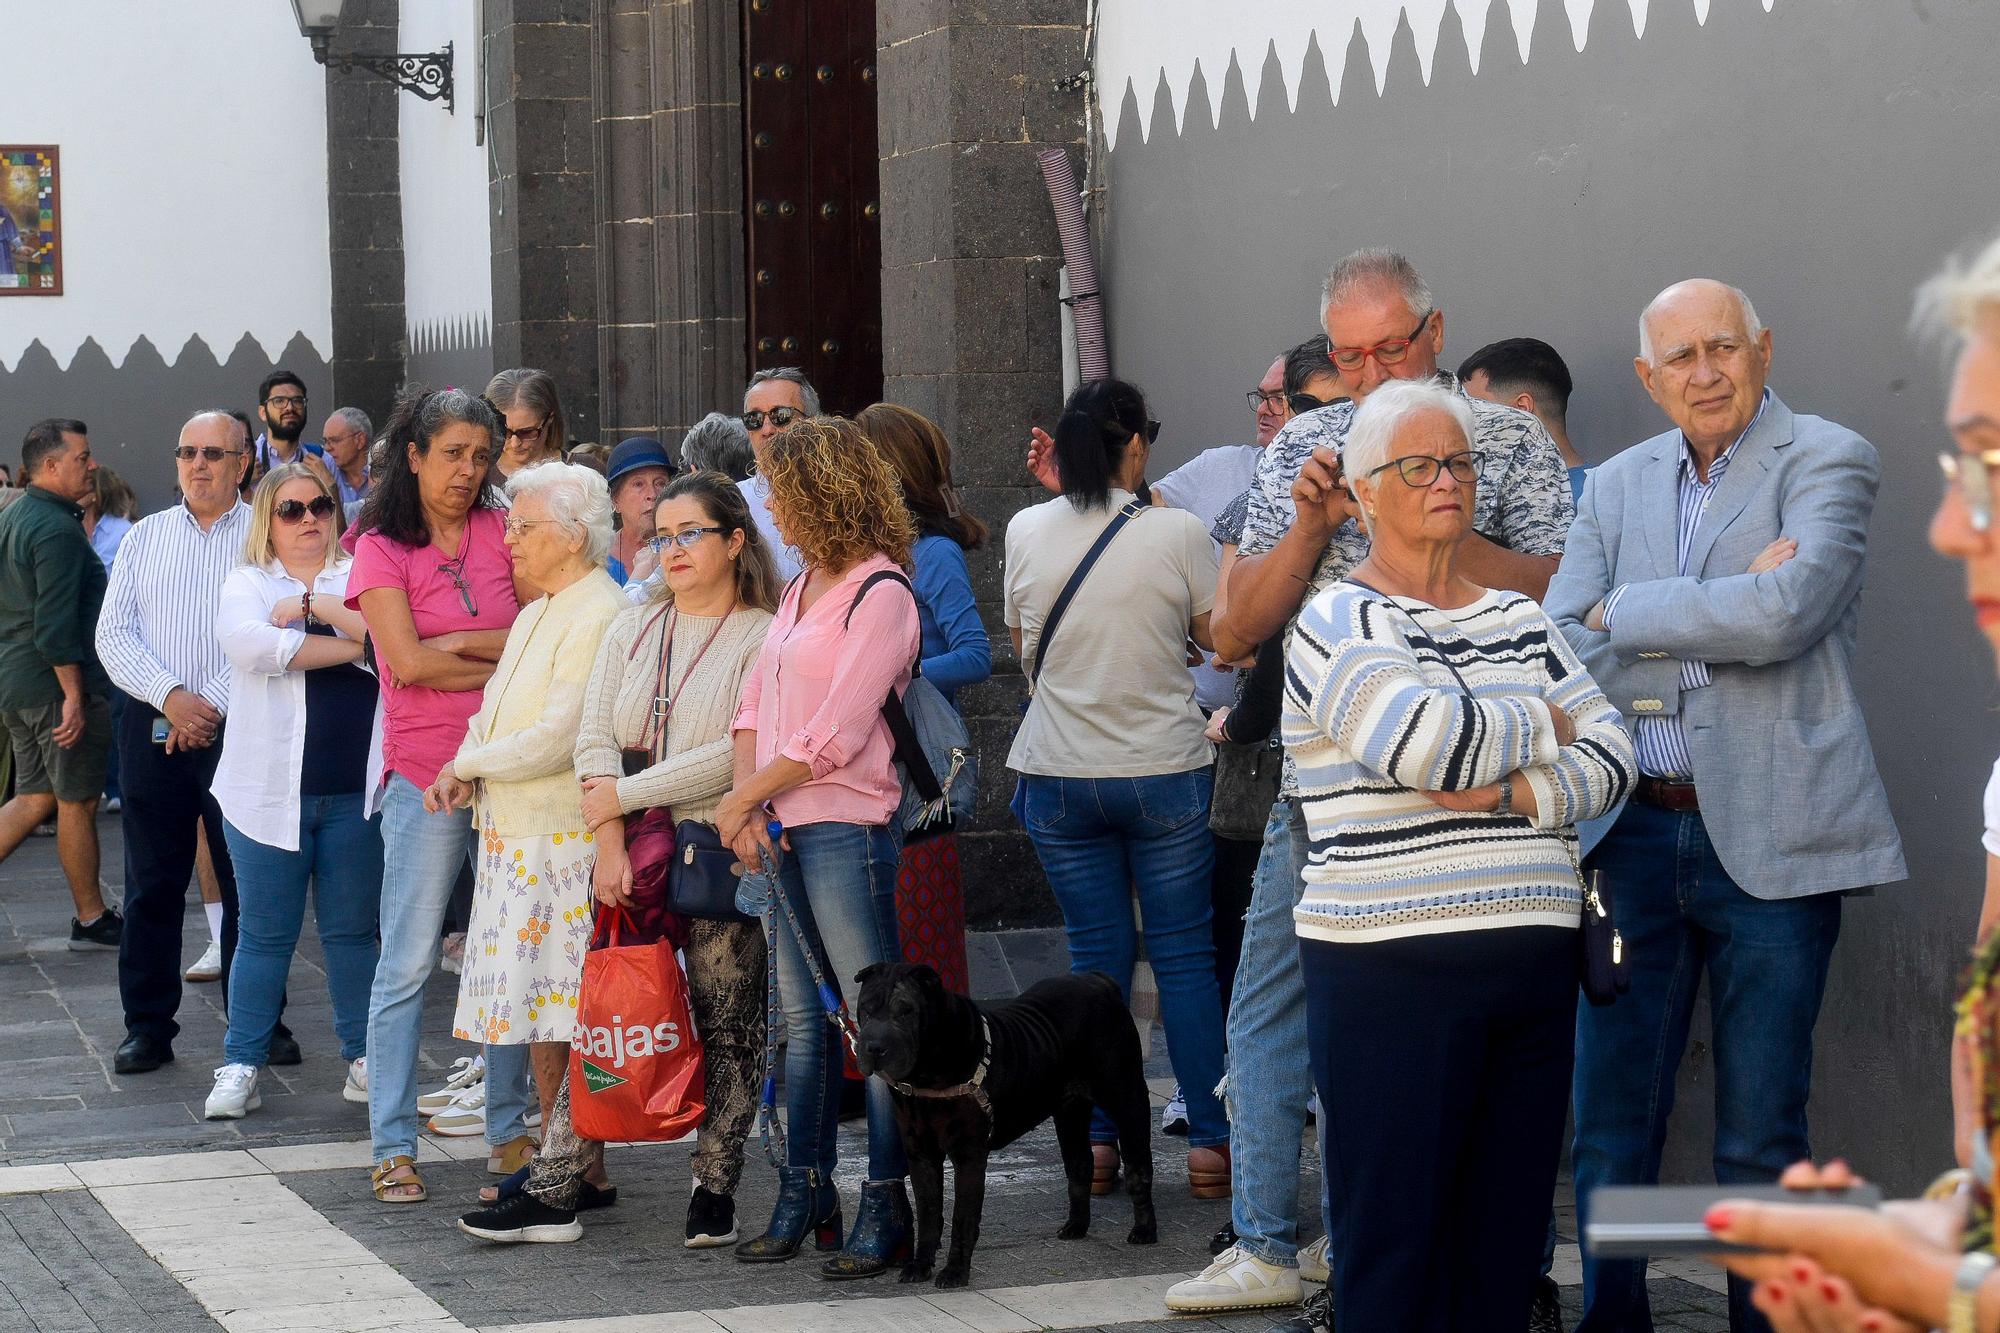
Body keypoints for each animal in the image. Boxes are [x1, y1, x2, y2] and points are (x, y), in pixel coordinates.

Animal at [848, 960, 1160, 1280]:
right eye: (866, 1009)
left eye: (906, 1011)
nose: (874, 1046)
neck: (925, 1075)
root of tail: (1100, 982)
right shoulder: (921, 1155)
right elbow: (928, 1213)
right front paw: (920, 1266)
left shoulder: (969, 1156)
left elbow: (962, 1217)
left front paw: (955, 1271)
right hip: (1069, 1111)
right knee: (1080, 1163)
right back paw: (1076, 1226)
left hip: (1128, 1101)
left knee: (1138, 1168)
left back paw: (1144, 1230)